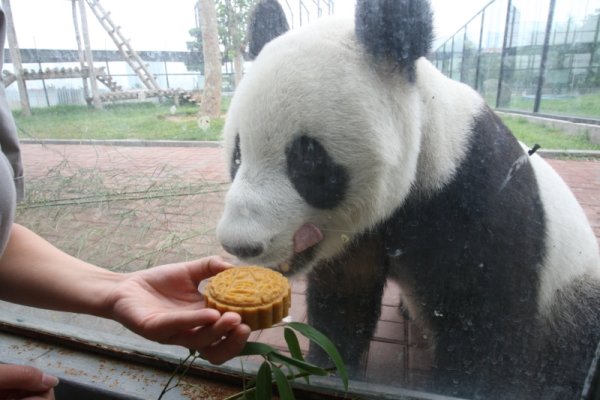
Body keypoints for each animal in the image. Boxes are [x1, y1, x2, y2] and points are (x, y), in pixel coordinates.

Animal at [217, 0, 600, 396]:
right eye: (237, 155)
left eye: (307, 160)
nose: (241, 244)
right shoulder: (358, 232)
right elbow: (345, 297)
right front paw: (327, 365)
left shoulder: (479, 204)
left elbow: (485, 325)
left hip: (573, 289)